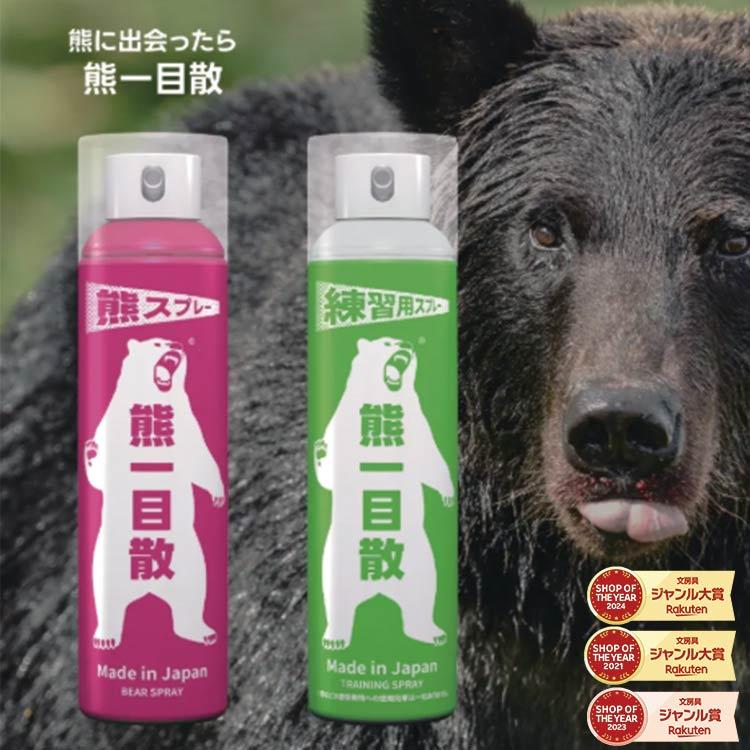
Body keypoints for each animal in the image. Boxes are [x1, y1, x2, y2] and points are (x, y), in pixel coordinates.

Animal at [84, 337, 225, 649]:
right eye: (158, 343)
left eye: (174, 343)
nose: (177, 345)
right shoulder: (112, 420)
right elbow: (100, 475)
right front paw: (92, 451)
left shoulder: (188, 423)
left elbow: (200, 460)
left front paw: (218, 496)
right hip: (107, 564)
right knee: (106, 602)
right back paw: (106, 638)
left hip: (190, 562)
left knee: (193, 598)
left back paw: (202, 632)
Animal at [314, 337, 453, 650]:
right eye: (388, 342)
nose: (406, 343)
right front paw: (321, 451)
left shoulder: (418, 423)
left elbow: (430, 461)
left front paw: (448, 494)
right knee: (336, 604)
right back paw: (335, 638)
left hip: (421, 563)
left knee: (423, 600)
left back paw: (429, 632)